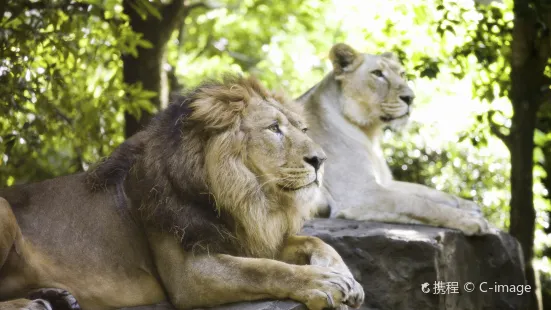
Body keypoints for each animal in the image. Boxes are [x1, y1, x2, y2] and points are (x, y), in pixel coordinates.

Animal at [0, 75, 364, 310]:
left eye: (302, 129)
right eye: (273, 129)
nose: (320, 160)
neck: (243, 197)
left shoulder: (246, 238)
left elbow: (314, 241)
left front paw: (346, 277)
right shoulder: (188, 276)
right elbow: (264, 270)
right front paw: (322, 283)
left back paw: (55, 296)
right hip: (4, 208)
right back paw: (34, 304)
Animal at [298, 42, 492, 234]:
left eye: (402, 74)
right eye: (377, 73)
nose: (410, 98)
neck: (369, 133)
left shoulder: (384, 181)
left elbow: (426, 191)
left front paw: (470, 206)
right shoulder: (359, 193)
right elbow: (419, 204)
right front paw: (470, 219)